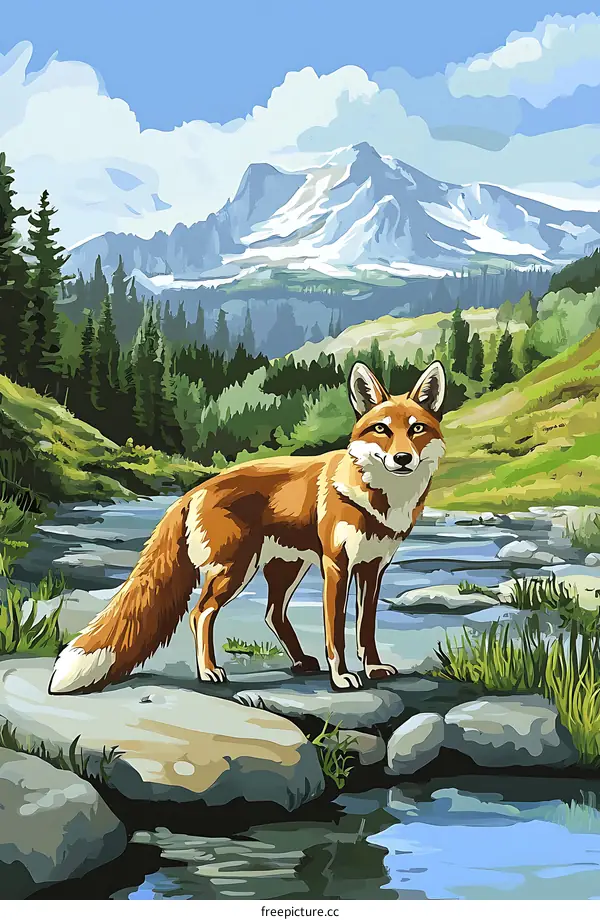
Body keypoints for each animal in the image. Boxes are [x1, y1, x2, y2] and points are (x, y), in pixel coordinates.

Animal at [48, 360, 446, 695]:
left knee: (272, 614)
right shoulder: (337, 566)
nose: (402, 458)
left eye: (417, 429)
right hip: (236, 569)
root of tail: (193, 490)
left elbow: (366, 628)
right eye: (381, 429)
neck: (379, 501)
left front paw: (374, 668)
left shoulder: (373, 568)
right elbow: (337, 633)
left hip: (285, 568)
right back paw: (209, 671)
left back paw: (300, 662)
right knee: (201, 613)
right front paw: (341, 677)